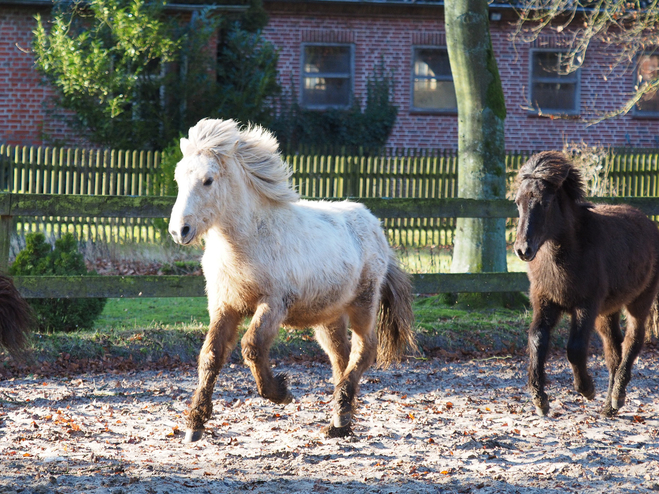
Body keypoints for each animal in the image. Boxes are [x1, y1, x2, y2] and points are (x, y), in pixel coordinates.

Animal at [170, 119, 418, 444]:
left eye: (208, 180)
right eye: (178, 178)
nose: (179, 231)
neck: (246, 243)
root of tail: (374, 224)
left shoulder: (273, 304)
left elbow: (252, 346)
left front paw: (281, 392)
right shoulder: (225, 306)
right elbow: (210, 355)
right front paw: (195, 425)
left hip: (364, 303)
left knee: (365, 350)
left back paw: (340, 415)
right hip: (329, 317)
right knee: (341, 357)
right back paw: (341, 419)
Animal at [516, 151, 659, 416]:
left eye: (546, 203)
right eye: (518, 203)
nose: (522, 250)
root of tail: (649, 223)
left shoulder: (586, 305)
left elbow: (575, 348)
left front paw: (587, 389)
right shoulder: (546, 301)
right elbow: (537, 339)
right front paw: (540, 400)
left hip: (639, 301)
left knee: (633, 341)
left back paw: (617, 397)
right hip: (608, 311)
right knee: (614, 350)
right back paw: (609, 407)